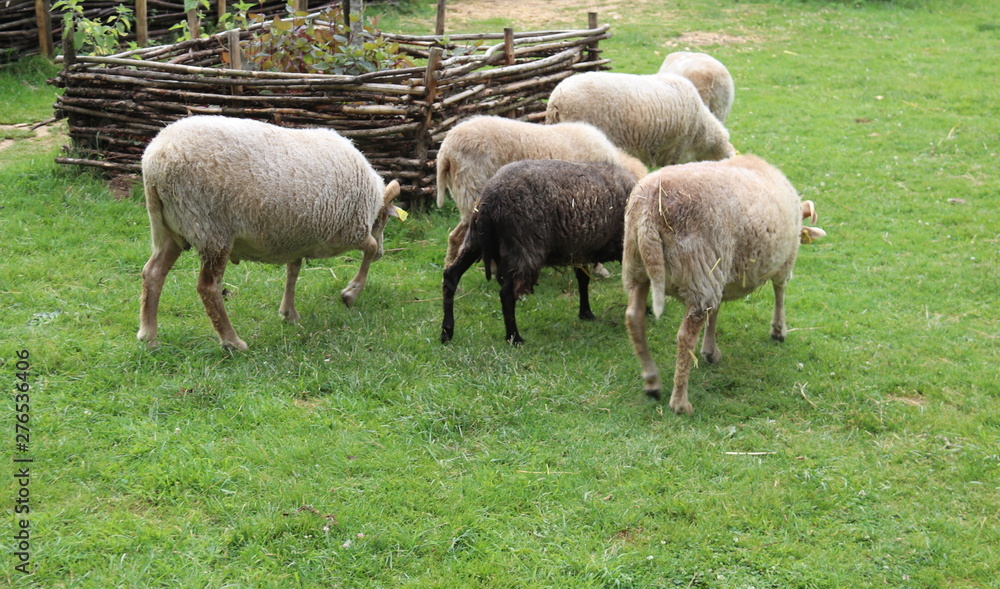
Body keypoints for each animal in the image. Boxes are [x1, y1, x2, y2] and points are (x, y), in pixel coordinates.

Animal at [136, 117, 402, 352]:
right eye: (384, 219)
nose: (383, 253)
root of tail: (155, 158)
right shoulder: (347, 232)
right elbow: (368, 247)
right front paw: (350, 294)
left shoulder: (297, 236)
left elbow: (293, 271)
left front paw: (288, 313)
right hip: (211, 229)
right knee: (208, 287)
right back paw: (232, 342)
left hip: (168, 228)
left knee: (153, 272)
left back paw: (149, 337)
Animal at [620, 154, 824, 416]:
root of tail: (649, 214)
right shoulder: (784, 260)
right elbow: (780, 291)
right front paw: (779, 330)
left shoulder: (722, 273)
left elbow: (715, 313)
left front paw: (710, 351)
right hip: (700, 271)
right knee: (685, 336)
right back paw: (680, 402)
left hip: (640, 267)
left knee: (634, 318)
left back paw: (652, 381)